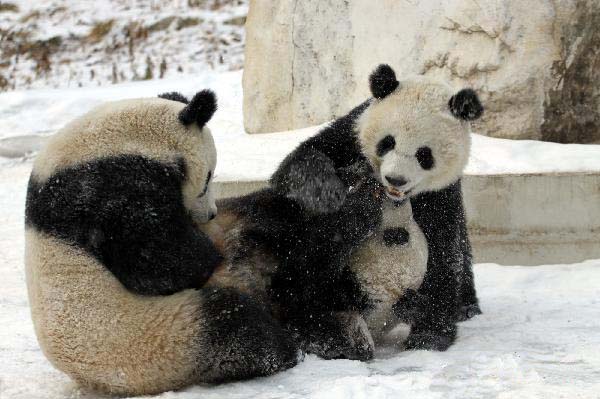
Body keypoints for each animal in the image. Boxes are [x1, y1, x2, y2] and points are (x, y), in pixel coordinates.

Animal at [25, 90, 298, 396]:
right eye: (208, 178)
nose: (210, 214)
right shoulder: (108, 189)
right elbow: (157, 263)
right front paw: (207, 254)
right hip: (156, 339)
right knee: (233, 325)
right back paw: (283, 348)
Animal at [272, 64, 482, 352]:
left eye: (424, 155)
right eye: (388, 142)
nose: (396, 179)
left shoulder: (441, 194)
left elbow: (444, 252)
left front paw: (429, 334)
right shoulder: (350, 137)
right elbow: (300, 163)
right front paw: (326, 191)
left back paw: (463, 307)